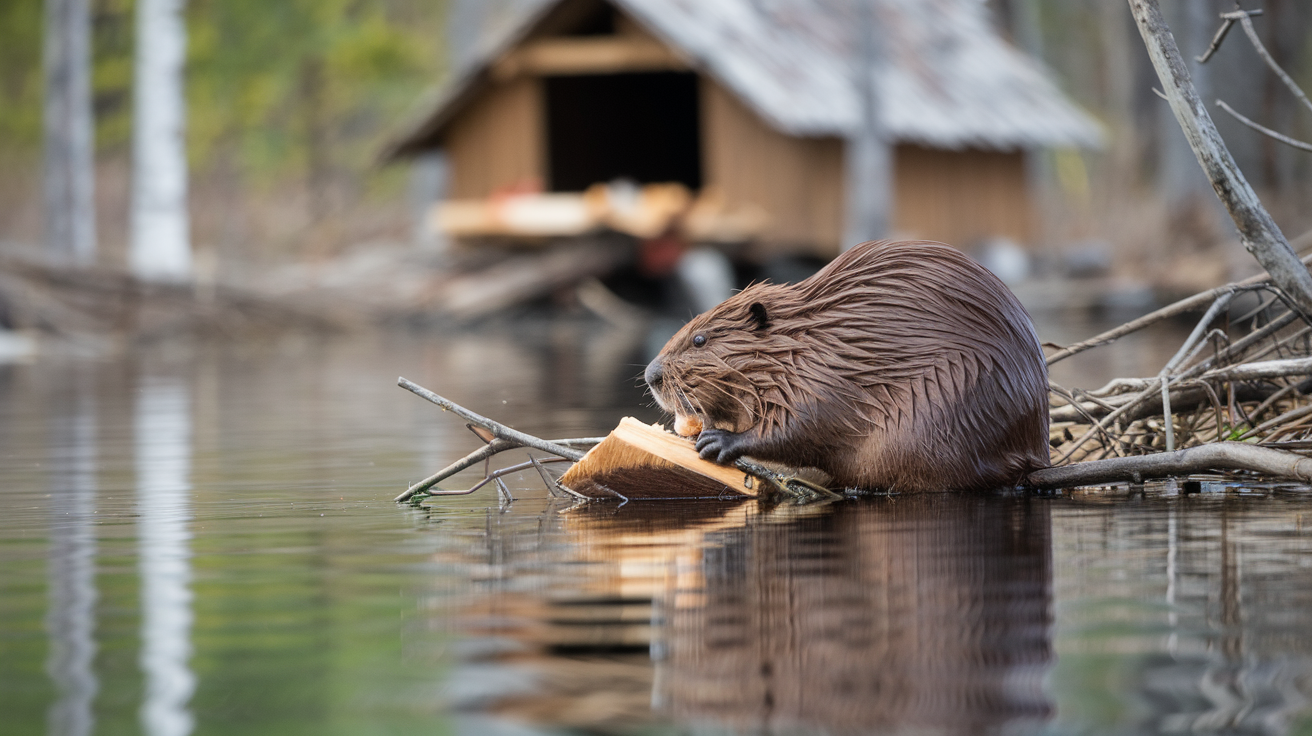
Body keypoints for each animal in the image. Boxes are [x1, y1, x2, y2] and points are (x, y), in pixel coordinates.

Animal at [640, 241, 1049, 490]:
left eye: (699, 340)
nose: (651, 375)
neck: (813, 341)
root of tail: (1036, 455)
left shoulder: (823, 379)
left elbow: (802, 427)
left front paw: (718, 440)